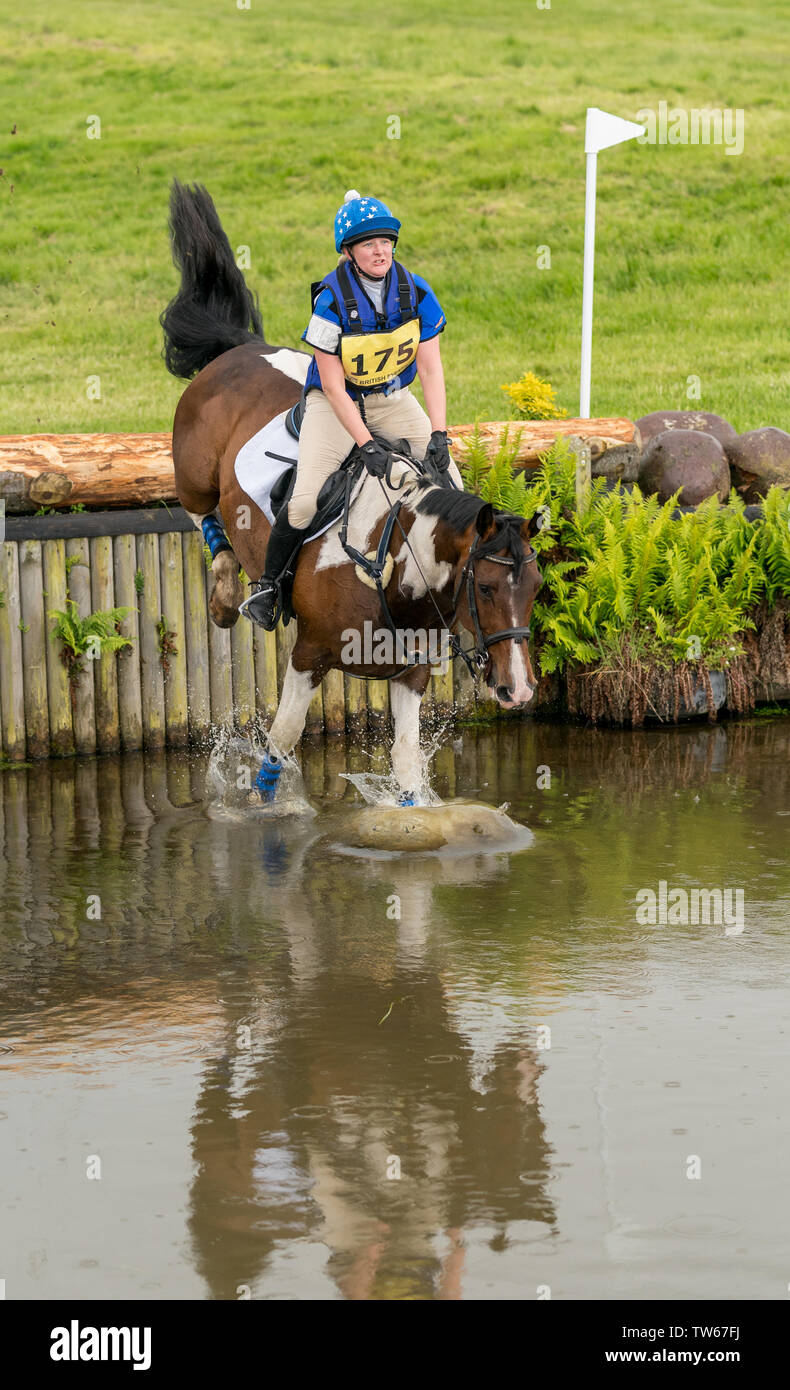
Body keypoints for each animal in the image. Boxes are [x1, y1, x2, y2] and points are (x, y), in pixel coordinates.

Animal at [160, 177, 542, 806]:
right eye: (485, 588)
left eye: (535, 588)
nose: (519, 691)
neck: (392, 564)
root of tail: (239, 347)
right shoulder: (308, 655)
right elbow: (281, 742)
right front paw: (265, 803)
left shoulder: (411, 675)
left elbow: (406, 768)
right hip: (194, 472)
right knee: (203, 515)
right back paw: (224, 594)